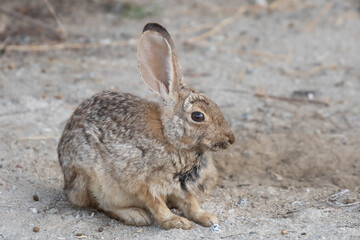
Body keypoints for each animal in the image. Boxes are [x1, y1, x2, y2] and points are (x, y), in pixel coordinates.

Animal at [57, 23, 235, 231]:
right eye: (197, 116)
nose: (230, 139)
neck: (171, 139)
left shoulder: (181, 188)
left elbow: (190, 202)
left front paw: (207, 217)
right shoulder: (145, 183)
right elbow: (156, 204)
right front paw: (175, 221)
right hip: (93, 180)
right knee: (103, 205)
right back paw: (135, 215)